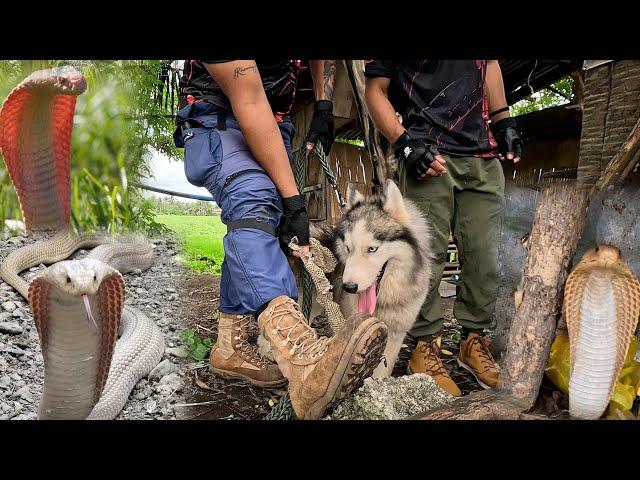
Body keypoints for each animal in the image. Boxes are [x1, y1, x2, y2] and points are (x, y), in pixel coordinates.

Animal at [312, 178, 432, 376]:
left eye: (372, 249)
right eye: (348, 249)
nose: (349, 288)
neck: (385, 300)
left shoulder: (396, 334)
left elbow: (382, 373)